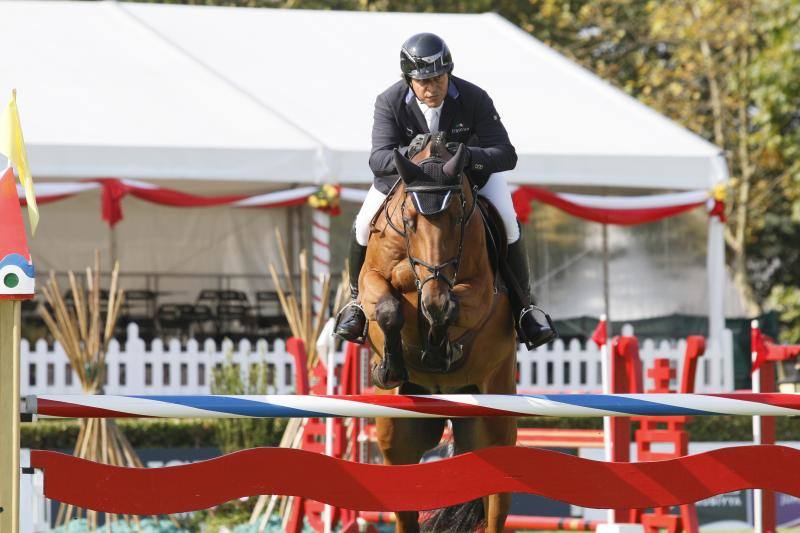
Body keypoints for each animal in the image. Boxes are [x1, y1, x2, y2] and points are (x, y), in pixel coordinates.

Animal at [358, 136, 520, 532]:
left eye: (458, 217)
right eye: (408, 220)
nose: (433, 288)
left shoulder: (481, 291)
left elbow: (448, 308)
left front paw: (439, 345)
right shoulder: (371, 278)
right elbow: (388, 304)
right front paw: (390, 367)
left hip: (496, 424)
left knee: (495, 507)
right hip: (397, 436)